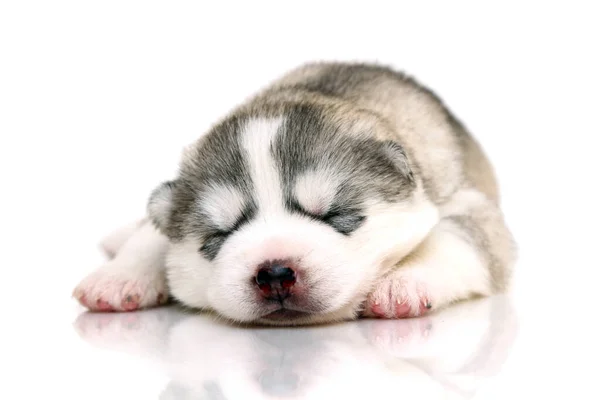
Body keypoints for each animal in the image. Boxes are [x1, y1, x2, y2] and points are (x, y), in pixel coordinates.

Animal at [74, 61, 516, 324]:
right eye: (219, 236)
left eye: (335, 216)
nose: (274, 273)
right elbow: (153, 231)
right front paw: (118, 277)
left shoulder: (468, 203)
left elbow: (455, 237)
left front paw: (403, 283)